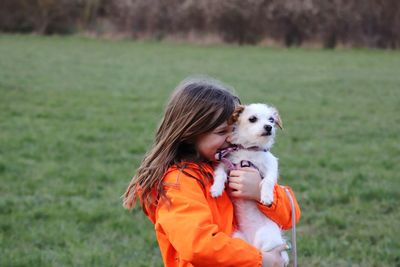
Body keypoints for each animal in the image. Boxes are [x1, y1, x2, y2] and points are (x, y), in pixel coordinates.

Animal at [211, 103, 290, 266]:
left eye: (271, 119)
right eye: (252, 119)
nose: (268, 127)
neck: (250, 150)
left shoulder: (271, 165)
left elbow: (267, 181)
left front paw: (266, 197)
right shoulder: (227, 163)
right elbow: (220, 174)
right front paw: (216, 189)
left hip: (265, 238)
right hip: (237, 236)